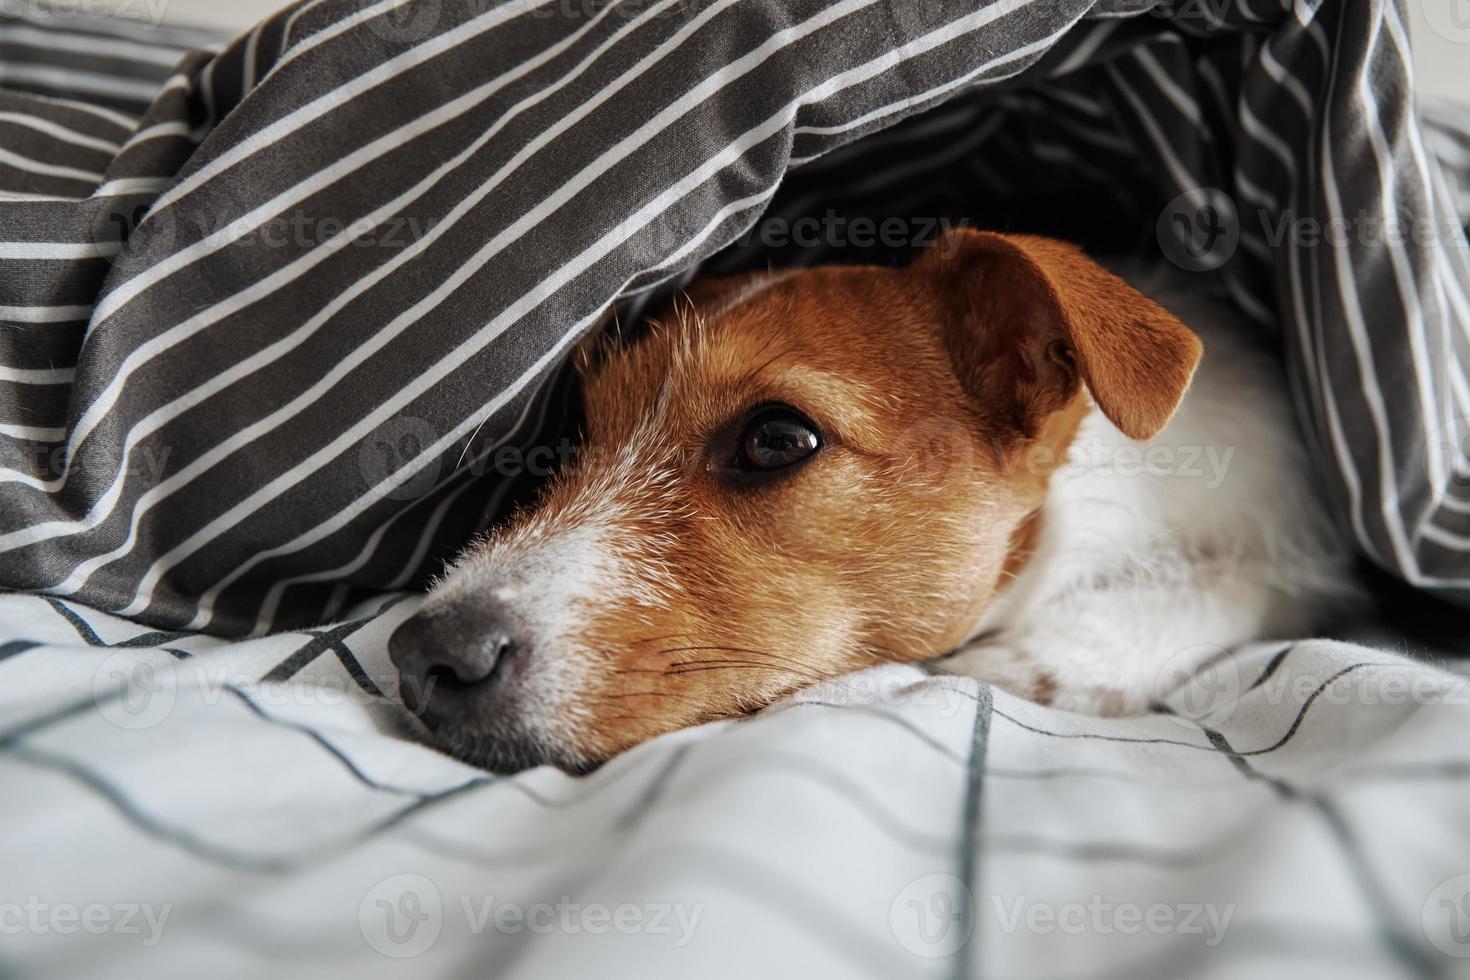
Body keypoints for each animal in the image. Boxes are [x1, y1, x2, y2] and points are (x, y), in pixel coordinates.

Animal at [388, 230, 1352, 775]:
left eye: (778, 440)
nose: (423, 654)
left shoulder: (1302, 545)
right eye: (577, 436)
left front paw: (1056, 658)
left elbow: (1241, 585)